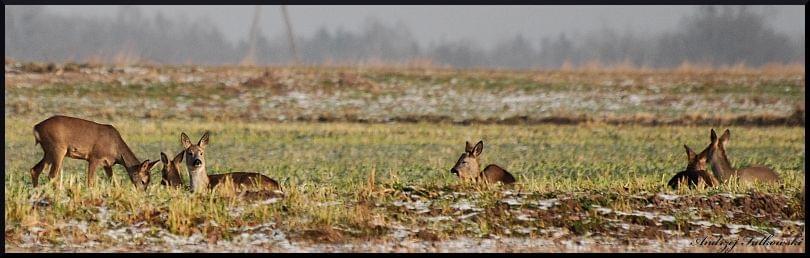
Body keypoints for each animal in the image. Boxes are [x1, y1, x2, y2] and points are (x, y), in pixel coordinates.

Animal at [29, 115, 158, 189]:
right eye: (143, 181)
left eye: (149, 181)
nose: (142, 193)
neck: (116, 150)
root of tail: (36, 127)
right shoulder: (94, 157)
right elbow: (90, 181)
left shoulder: (107, 164)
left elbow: (113, 182)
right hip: (58, 148)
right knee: (51, 175)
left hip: (48, 151)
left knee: (35, 170)